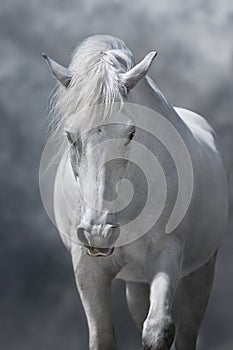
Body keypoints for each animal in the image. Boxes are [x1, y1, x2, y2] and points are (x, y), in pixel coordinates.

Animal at [42, 35, 228, 350]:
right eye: (70, 136)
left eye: (130, 133)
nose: (98, 232)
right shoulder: (87, 267)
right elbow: (103, 337)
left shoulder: (168, 255)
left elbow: (157, 330)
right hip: (137, 282)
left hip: (201, 271)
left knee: (188, 330)